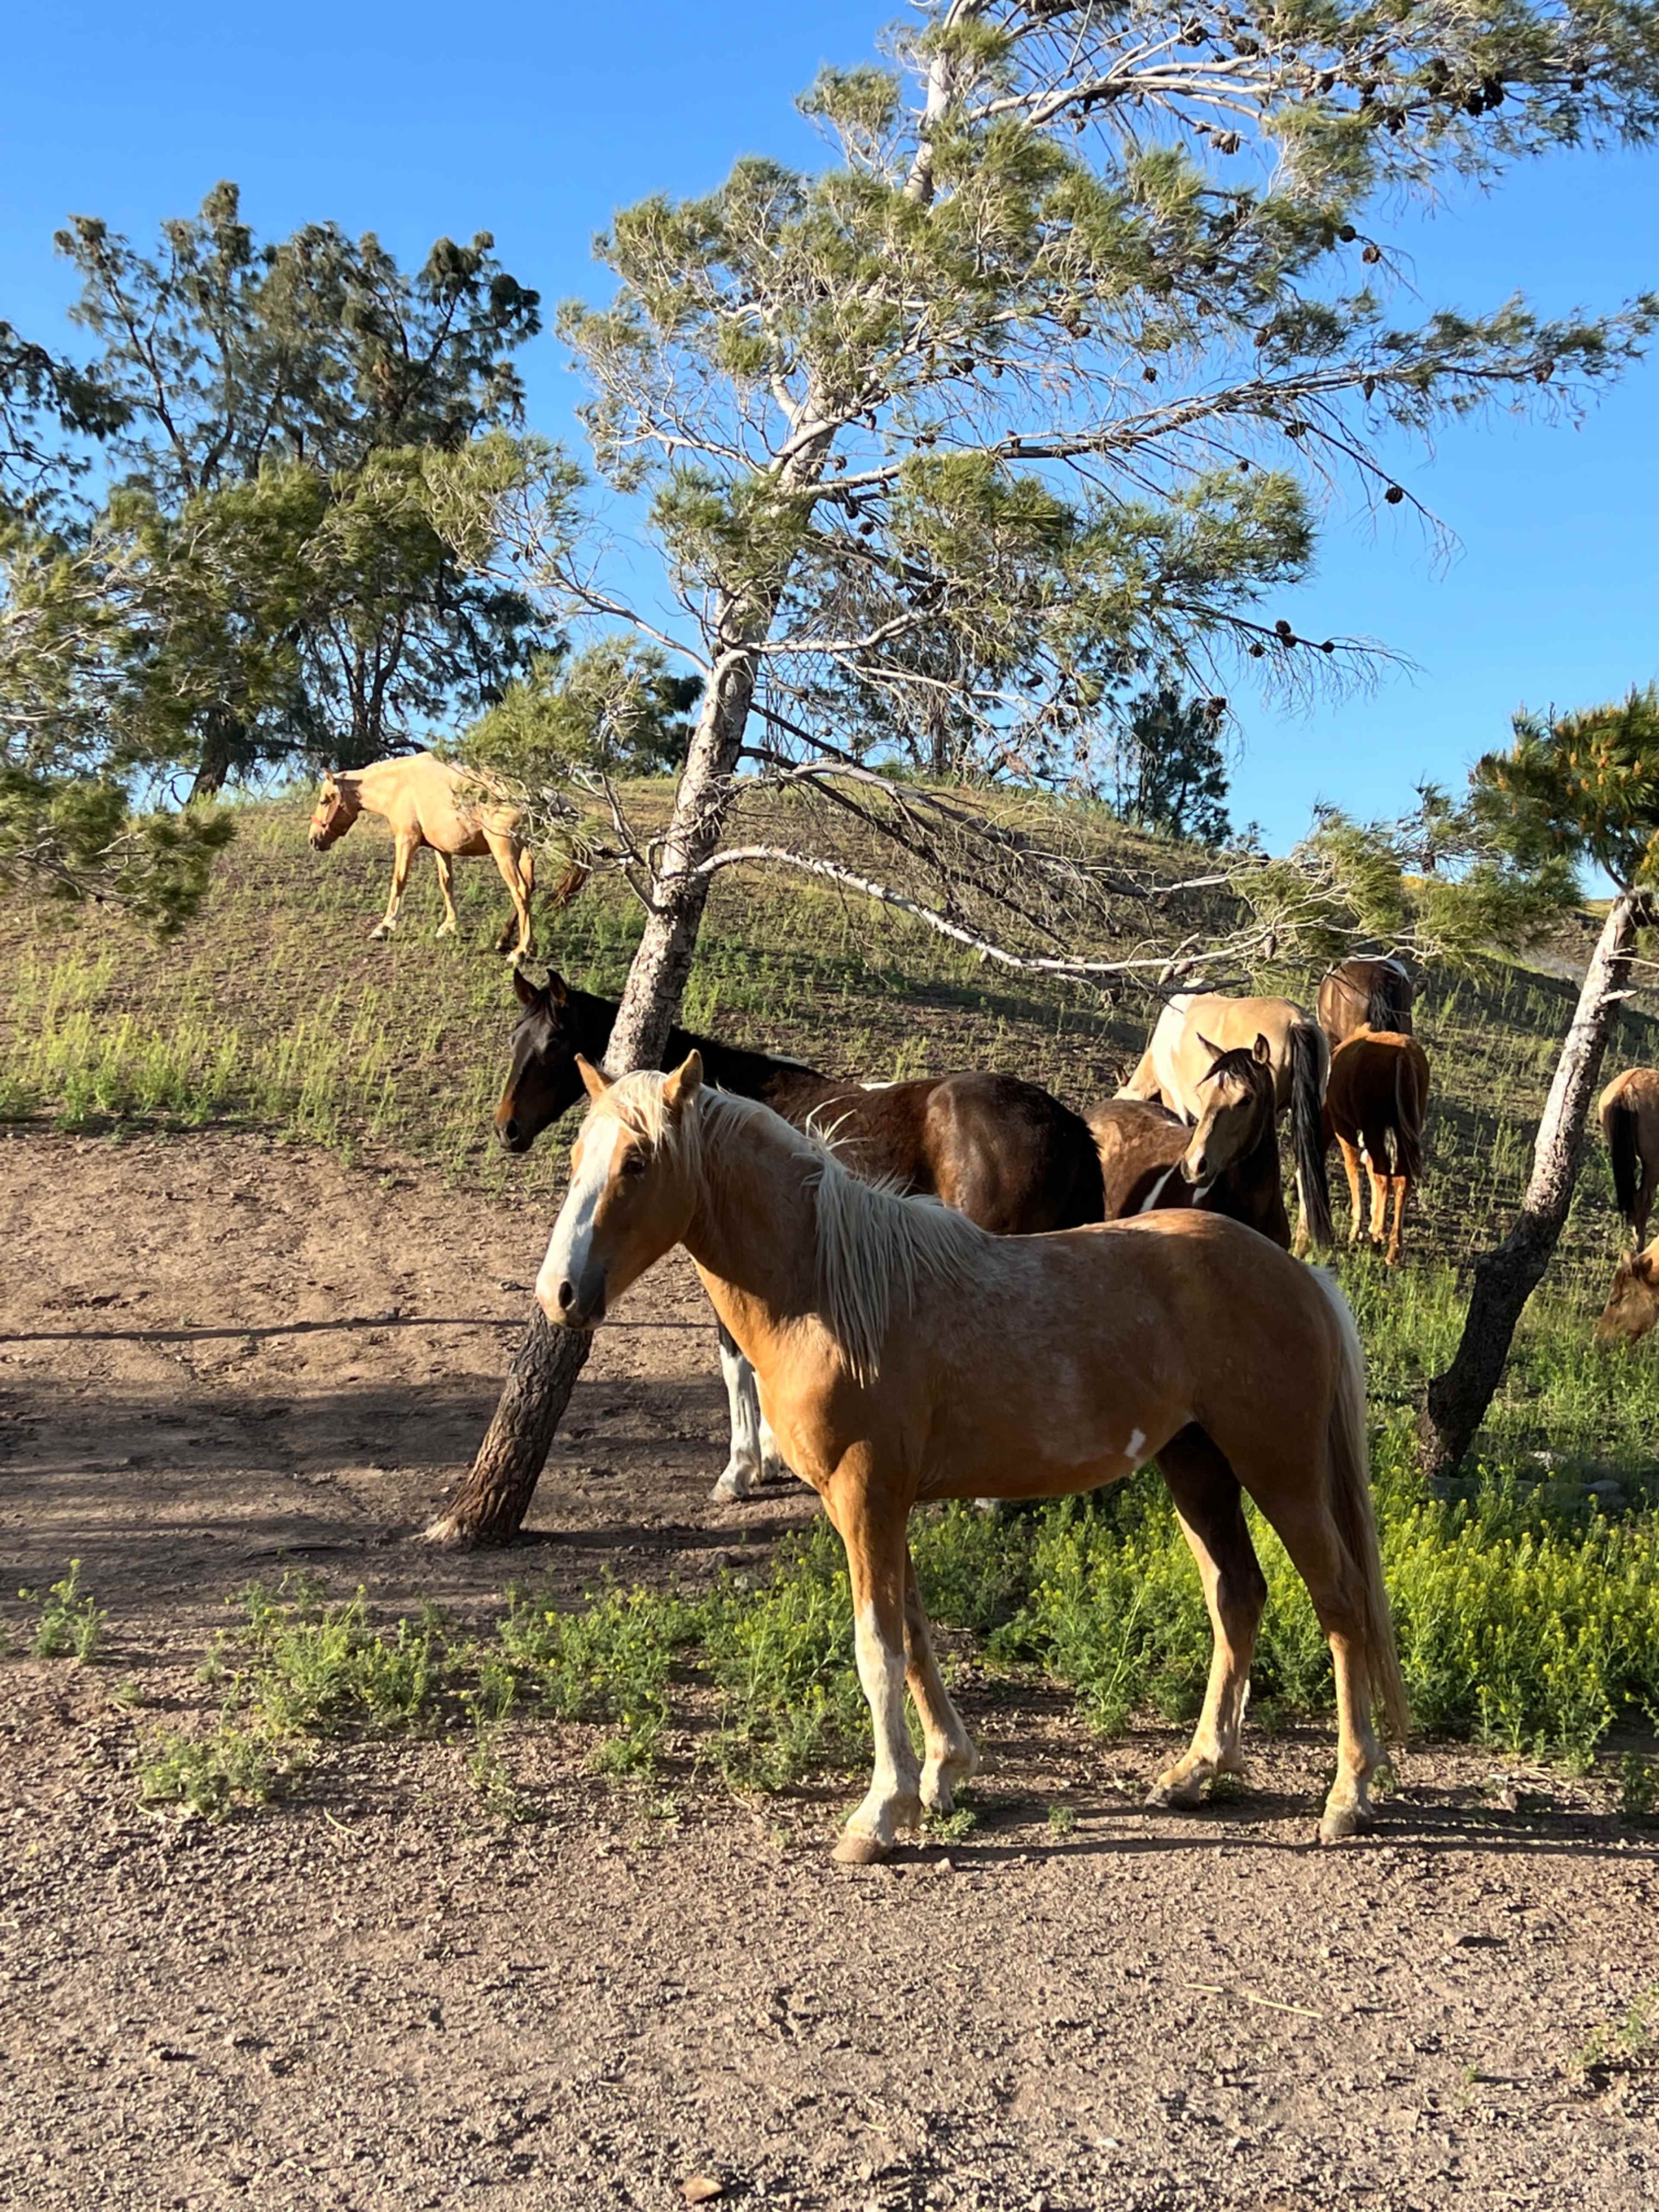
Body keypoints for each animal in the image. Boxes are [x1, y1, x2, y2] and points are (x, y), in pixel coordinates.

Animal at [307, 753, 537, 957]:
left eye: (325, 801)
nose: (314, 839)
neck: (400, 786)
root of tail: (526, 798)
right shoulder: (441, 849)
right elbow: (447, 883)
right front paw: (449, 926)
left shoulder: (407, 840)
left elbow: (399, 881)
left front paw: (385, 926)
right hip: (525, 854)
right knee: (529, 887)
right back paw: (506, 941)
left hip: (504, 852)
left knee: (520, 891)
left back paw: (521, 951)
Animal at [496, 968, 1106, 1500]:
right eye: (515, 1038)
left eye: (553, 1043)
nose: (508, 1129)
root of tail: (1068, 1124)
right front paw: (769, 1455)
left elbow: (736, 1361)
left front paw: (740, 1470)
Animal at [536, 1056, 1408, 1864]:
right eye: (579, 1152)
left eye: (637, 1162)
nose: (560, 1295)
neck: (833, 1290)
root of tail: (1299, 1273)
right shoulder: (880, 1505)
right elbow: (916, 1638)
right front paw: (941, 1774)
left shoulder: (864, 1497)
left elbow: (879, 1651)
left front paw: (878, 1815)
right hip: (1196, 1466)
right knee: (1237, 1595)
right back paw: (1197, 1772)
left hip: (1280, 1469)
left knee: (1340, 1604)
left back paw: (1348, 1794)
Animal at [1323, 1031, 1430, 1266]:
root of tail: (1404, 1055)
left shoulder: (1343, 1126)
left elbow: (1354, 1168)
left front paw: (1358, 1230)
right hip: (1404, 1128)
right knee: (1401, 1180)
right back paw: (1393, 1249)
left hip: (1374, 1126)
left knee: (1383, 1175)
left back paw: (1377, 1237)